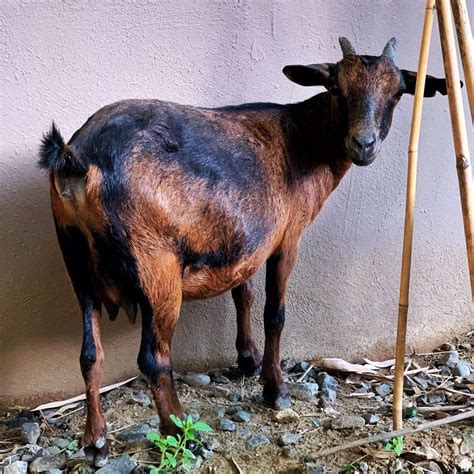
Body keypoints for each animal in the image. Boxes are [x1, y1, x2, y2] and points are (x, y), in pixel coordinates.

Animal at [39, 38, 448, 466]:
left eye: (398, 91)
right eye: (336, 87)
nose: (363, 144)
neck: (304, 138)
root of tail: (76, 160)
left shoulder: (246, 242)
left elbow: (243, 293)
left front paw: (247, 359)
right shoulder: (287, 239)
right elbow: (274, 313)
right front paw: (275, 388)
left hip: (76, 263)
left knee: (90, 353)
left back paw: (96, 441)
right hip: (156, 267)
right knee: (153, 358)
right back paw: (179, 433)